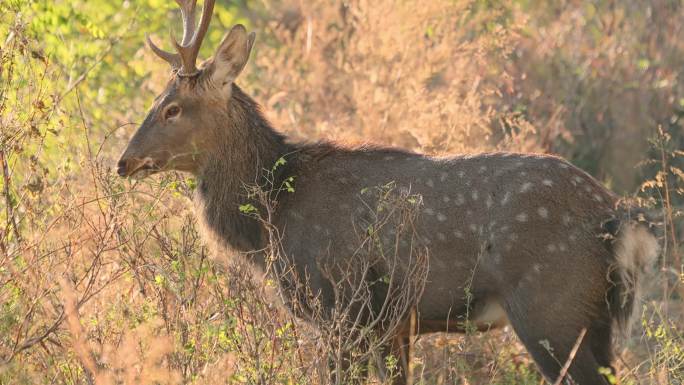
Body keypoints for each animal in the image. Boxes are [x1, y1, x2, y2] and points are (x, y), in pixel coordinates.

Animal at [116, 1, 656, 382]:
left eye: (172, 108)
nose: (123, 162)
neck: (272, 224)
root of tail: (618, 219)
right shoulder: (392, 327)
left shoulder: (340, 308)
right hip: (597, 321)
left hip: (552, 308)